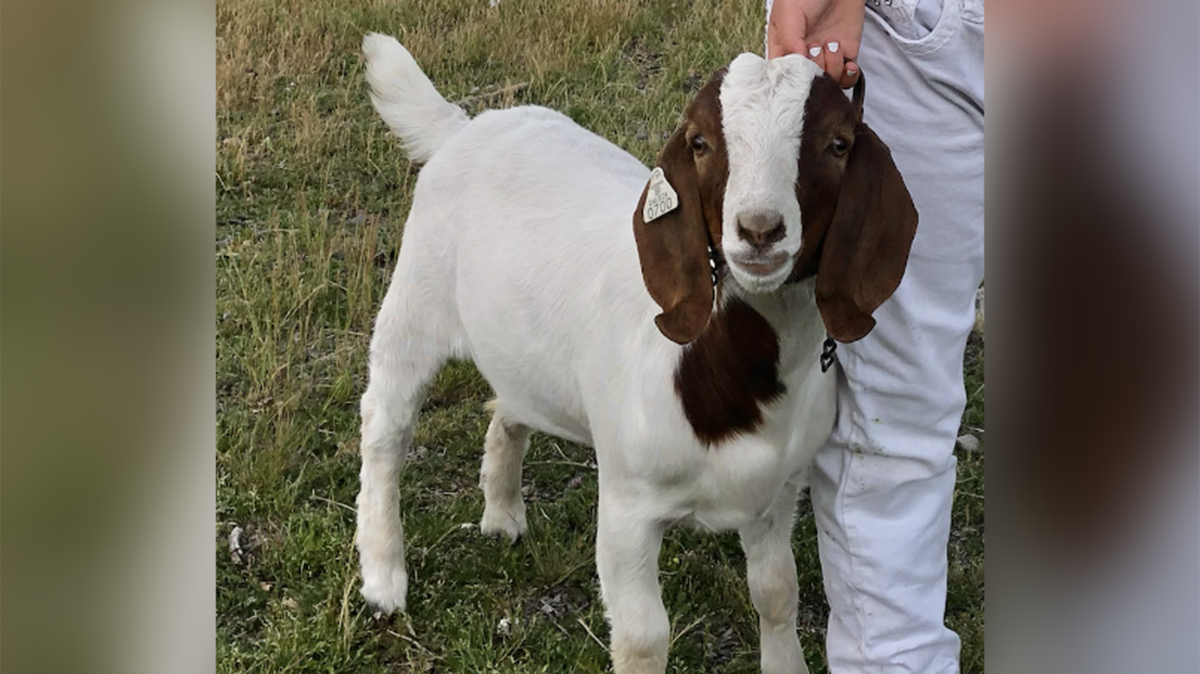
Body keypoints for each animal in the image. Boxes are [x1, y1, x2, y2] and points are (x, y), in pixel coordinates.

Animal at [355, 33, 917, 674]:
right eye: (699, 142)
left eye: (838, 143)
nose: (758, 231)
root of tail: (462, 127)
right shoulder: (628, 507)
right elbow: (643, 638)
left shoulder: (778, 493)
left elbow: (777, 594)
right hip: (415, 302)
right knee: (386, 428)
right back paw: (383, 577)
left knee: (508, 406)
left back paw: (502, 515)